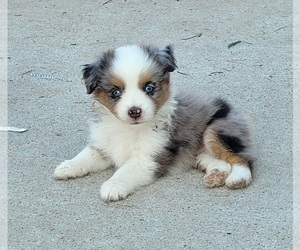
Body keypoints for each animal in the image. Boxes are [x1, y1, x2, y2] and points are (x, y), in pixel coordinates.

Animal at [54, 44, 255, 201]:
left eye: (149, 88)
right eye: (115, 92)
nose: (135, 111)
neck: (128, 129)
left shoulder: (149, 158)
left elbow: (126, 170)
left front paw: (113, 186)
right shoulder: (104, 146)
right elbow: (85, 156)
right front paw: (67, 167)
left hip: (216, 130)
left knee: (242, 159)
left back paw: (238, 179)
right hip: (200, 152)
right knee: (220, 162)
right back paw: (216, 175)